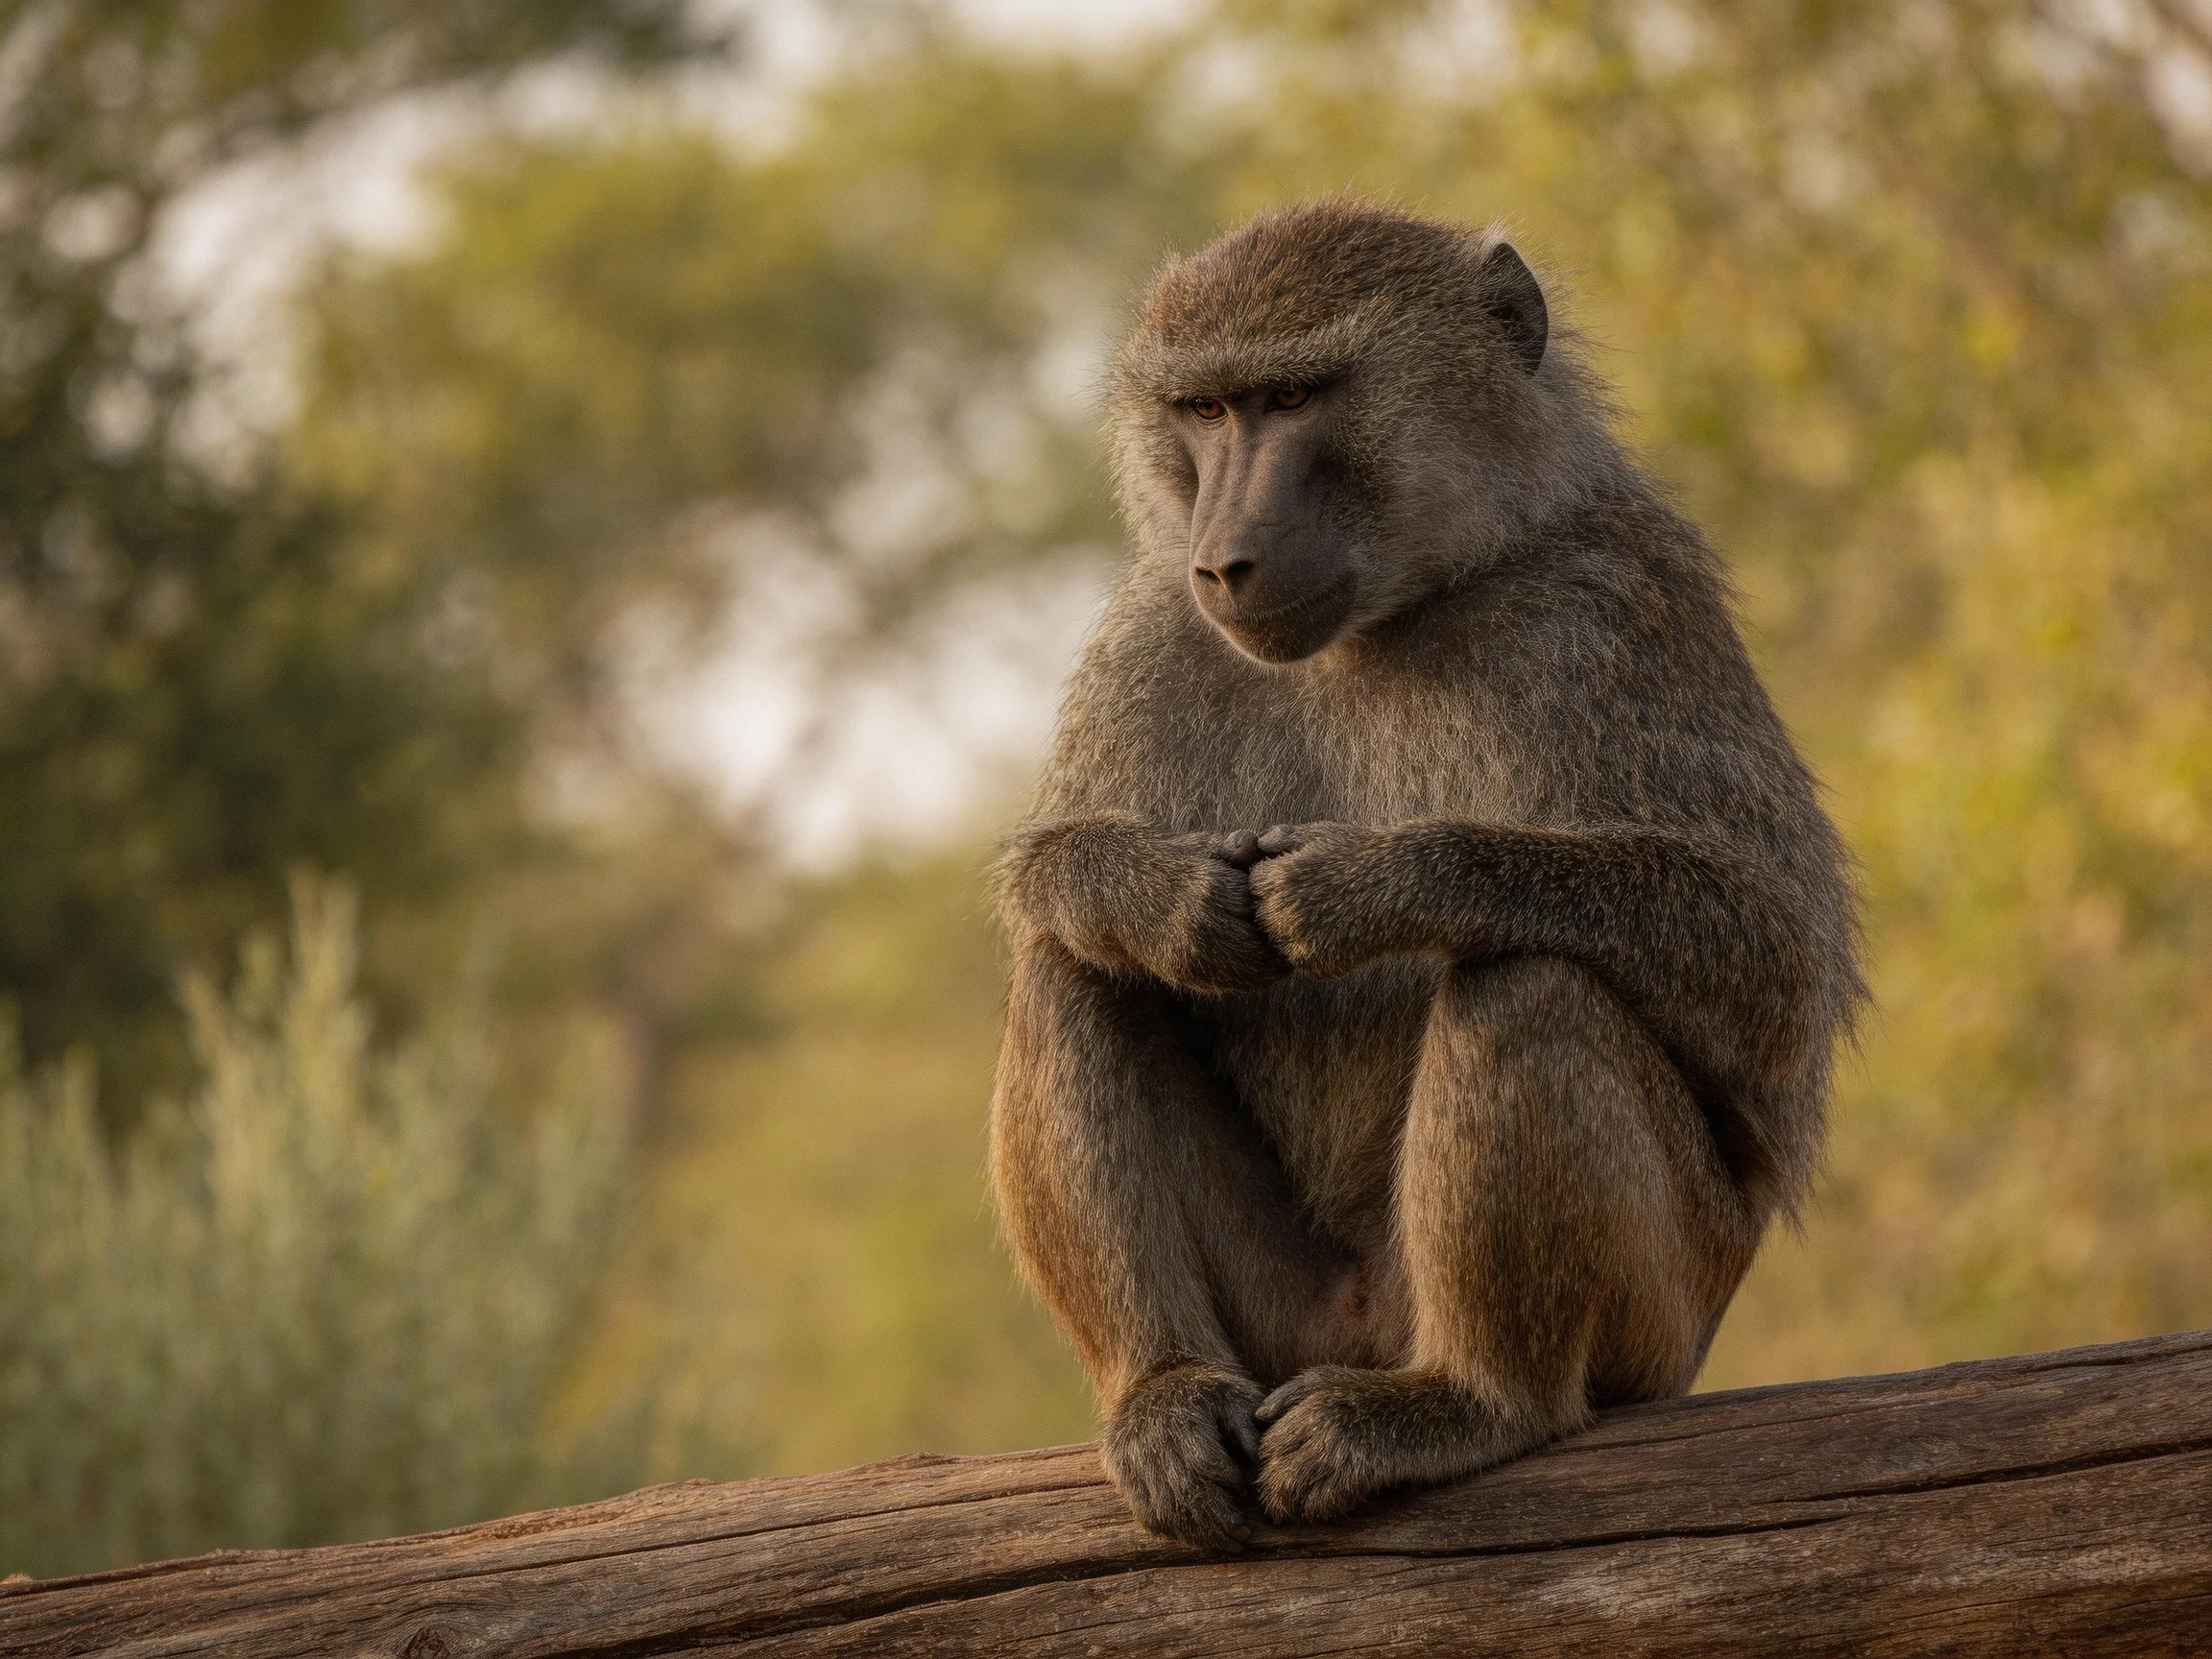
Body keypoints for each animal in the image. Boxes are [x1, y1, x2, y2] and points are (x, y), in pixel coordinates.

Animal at [989, 200, 1861, 1551]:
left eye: (1297, 397)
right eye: (1206, 411)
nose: (1224, 560)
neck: (1386, 618)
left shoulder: (1616, 603)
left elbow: (1778, 967)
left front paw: (1374, 883)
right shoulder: (1152, 628)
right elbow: (1047, 878)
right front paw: (1164, 900)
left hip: (1666, 1316)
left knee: (1528, 981)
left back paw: (1472, 1400)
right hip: (1283, 1323)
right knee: (1072, 973)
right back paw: (1164, 1393)